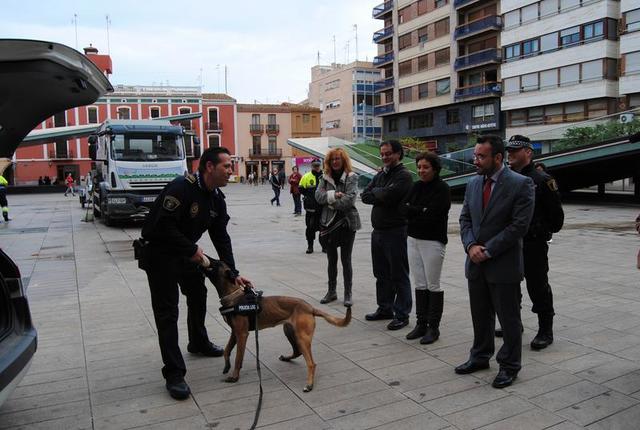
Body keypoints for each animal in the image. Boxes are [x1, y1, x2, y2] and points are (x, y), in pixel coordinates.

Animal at [201, 256, 350, 392]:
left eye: (216, 262)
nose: (204, 256)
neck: (233, 295)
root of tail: (310, 308)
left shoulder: (242, 334)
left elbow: (238, 358)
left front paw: (234, 376)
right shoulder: (234, 332)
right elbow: (227, 350)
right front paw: (227, 366)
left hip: (302, 337)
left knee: (311, 363)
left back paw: (309, 384)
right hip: (290, 332)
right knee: (297, 352)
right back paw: (287, 358)